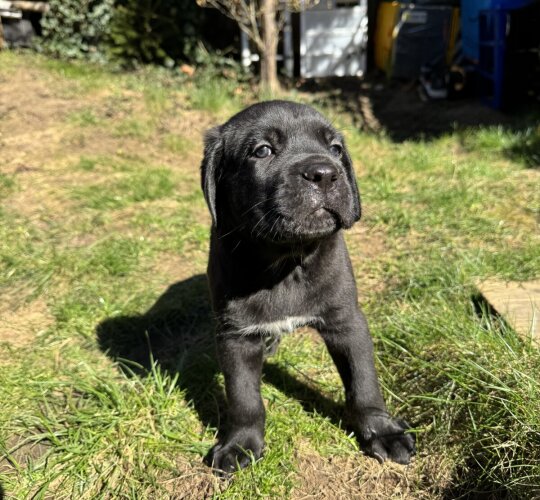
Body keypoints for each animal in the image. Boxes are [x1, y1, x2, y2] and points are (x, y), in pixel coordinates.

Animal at [200, 100, 416, 472]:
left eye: (336, 149)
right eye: (262, 150)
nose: (325, 173)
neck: (288, 260)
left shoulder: (347, 322)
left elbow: (364, 383)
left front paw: (383, 432)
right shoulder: (235, 335)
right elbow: (243, 397)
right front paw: (240, 445)